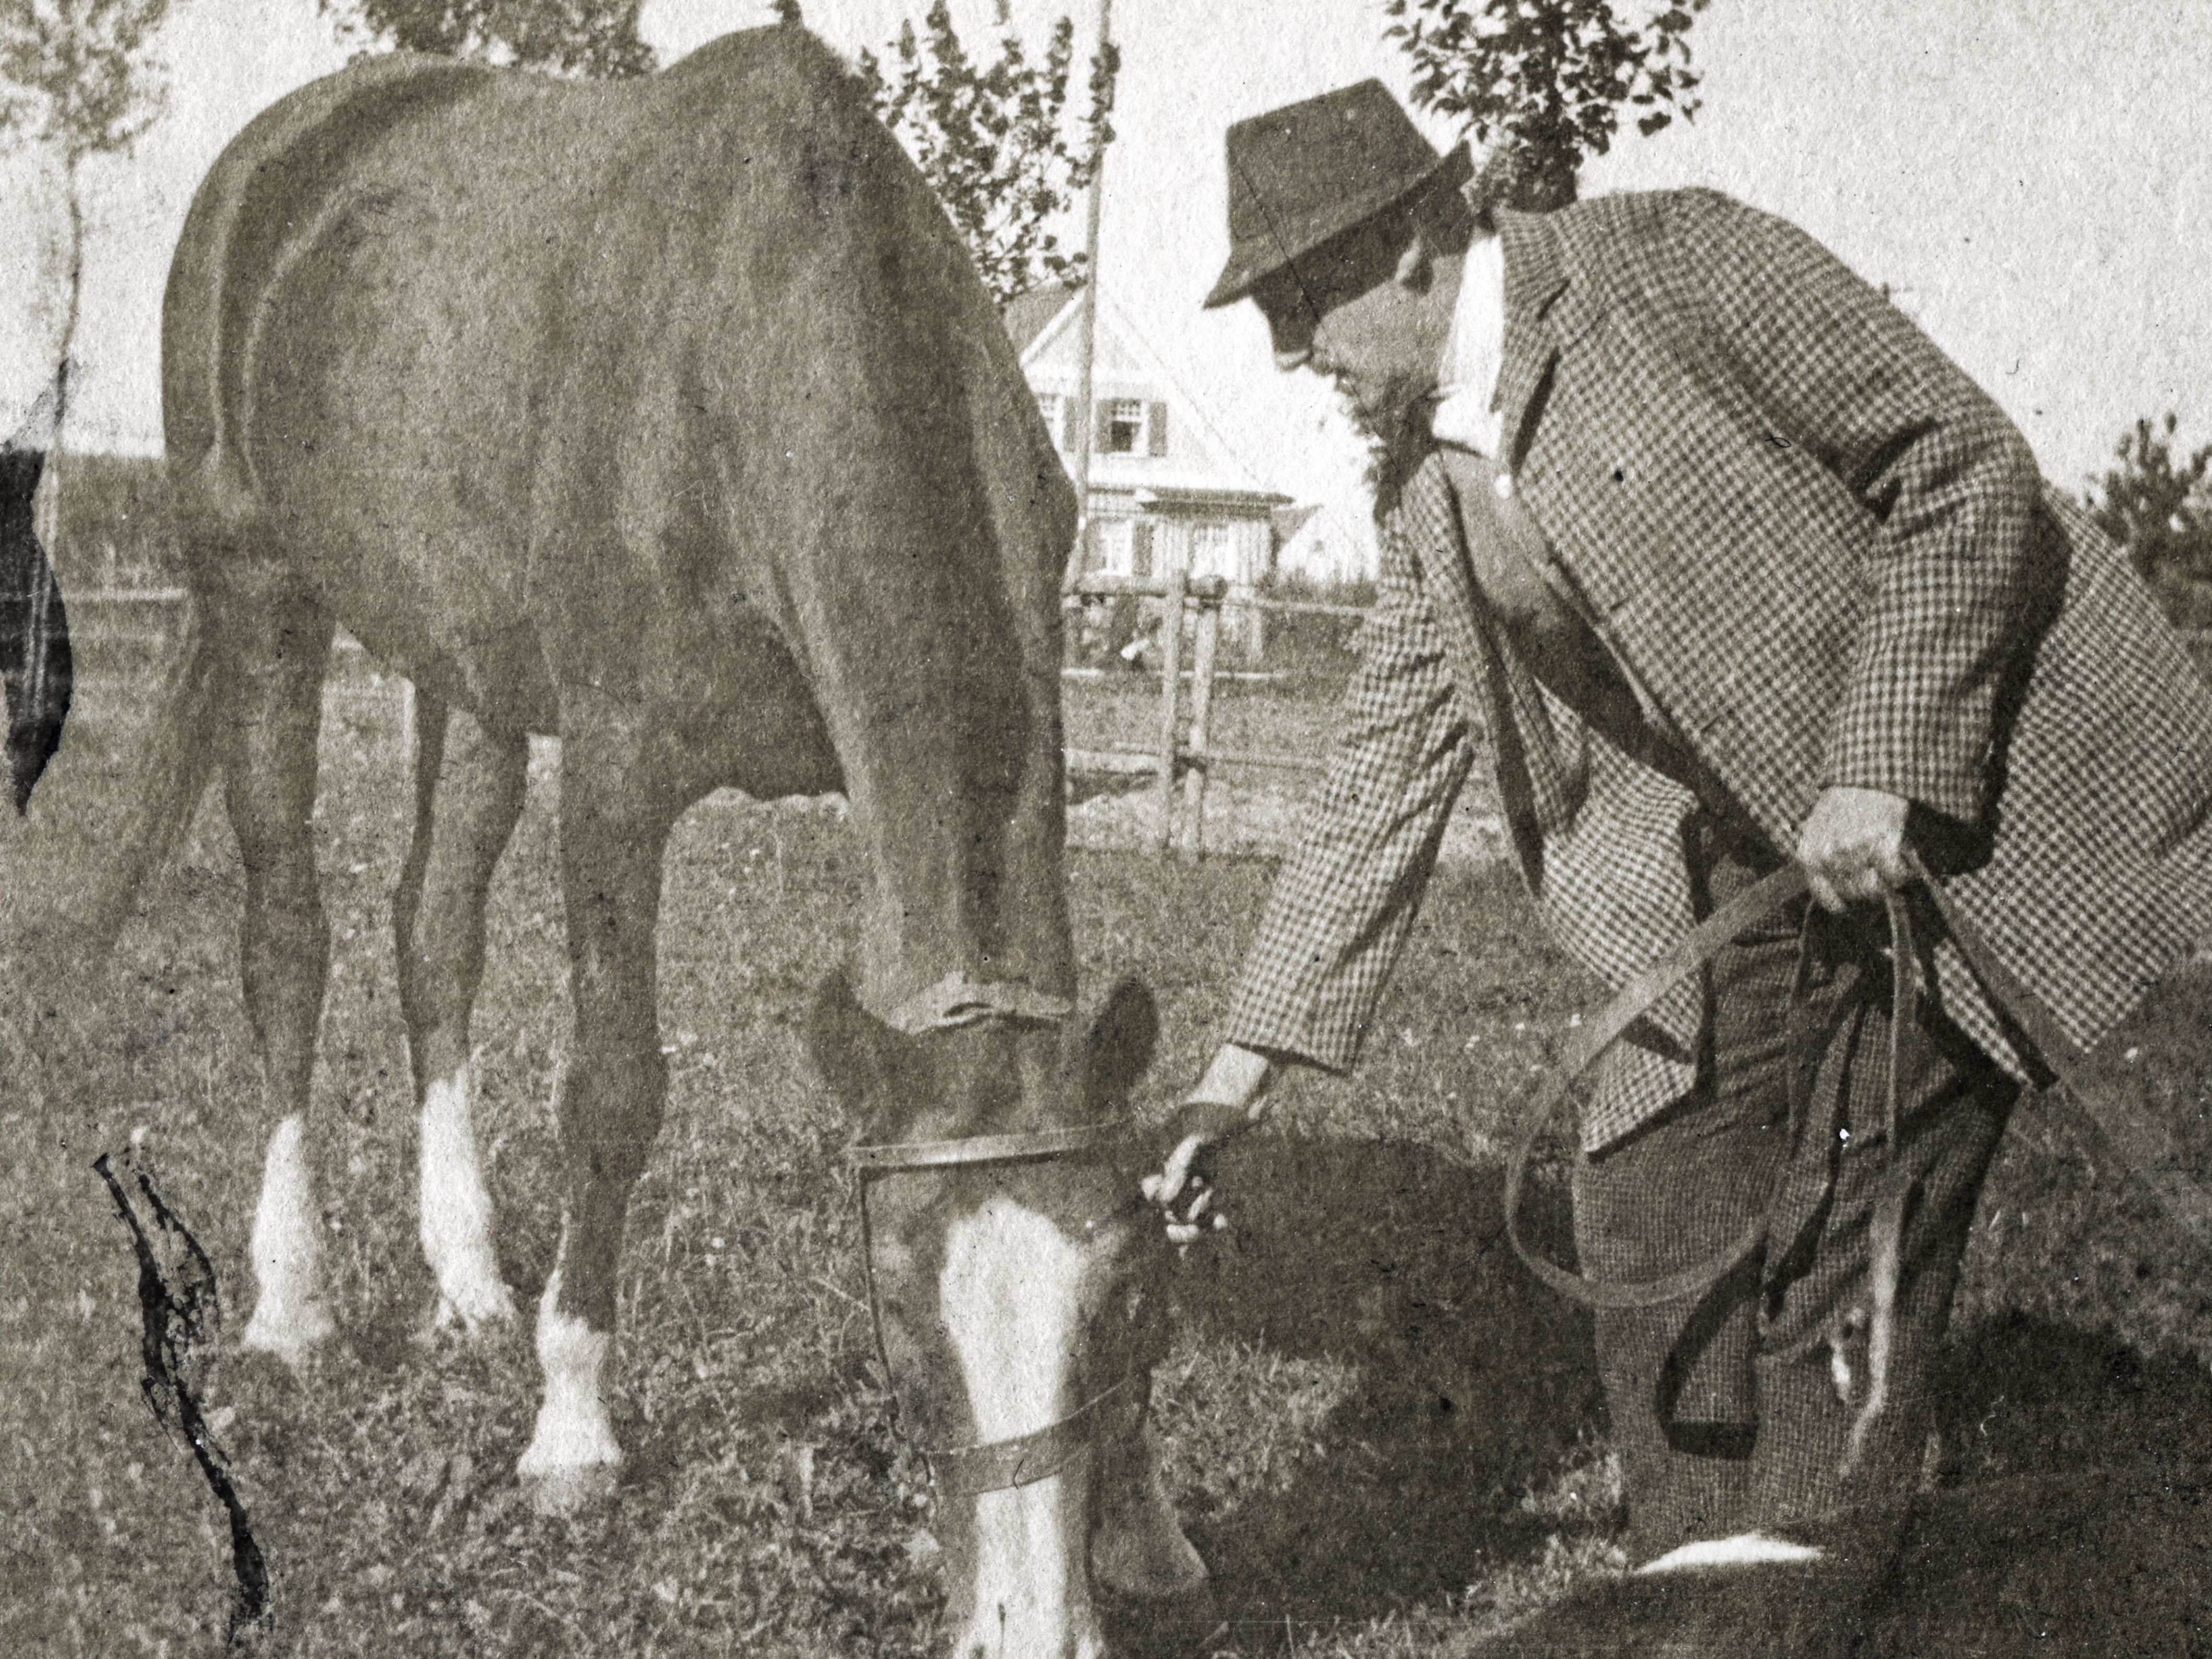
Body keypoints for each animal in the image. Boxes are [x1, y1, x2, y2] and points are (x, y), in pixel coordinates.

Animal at [90, 26, 1212, 1659]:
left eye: (1127, 1295)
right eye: (895, 1317)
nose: (1031, 1626)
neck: (768, 345)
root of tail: (285, 152)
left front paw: (1144, 1517)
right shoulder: (617, 773)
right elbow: (611, 1090)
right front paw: (572, 1430)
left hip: (464, 667)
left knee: (432, 930)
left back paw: (469, 1280)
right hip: (262, 598)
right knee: (287, 940)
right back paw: (295, 1305)